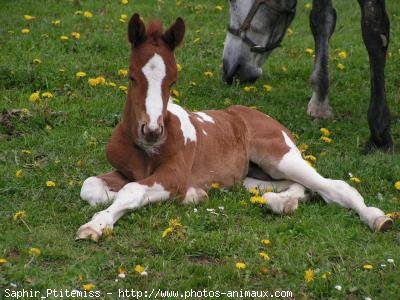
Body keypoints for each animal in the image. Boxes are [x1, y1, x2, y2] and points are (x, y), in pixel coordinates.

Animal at [76, 14, 390, 243]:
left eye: (172, 81)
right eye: (131, 77)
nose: (152, 130)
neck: (146, 150)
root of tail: (260, 115)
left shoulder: (174, 175)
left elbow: (132, 191)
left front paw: (96, 225)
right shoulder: (124, 170)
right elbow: (91, 187)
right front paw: (194, 195)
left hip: (280, 157)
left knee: (335, 187)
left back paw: (378, 218)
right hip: (254, 176)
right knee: (300, 188)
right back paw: (281, 203)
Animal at [223, 0, 392, 154]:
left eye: (232, 0)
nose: (228, 72)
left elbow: (374, 29)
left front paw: (380, 134)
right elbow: (322, 19)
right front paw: (320, 103)